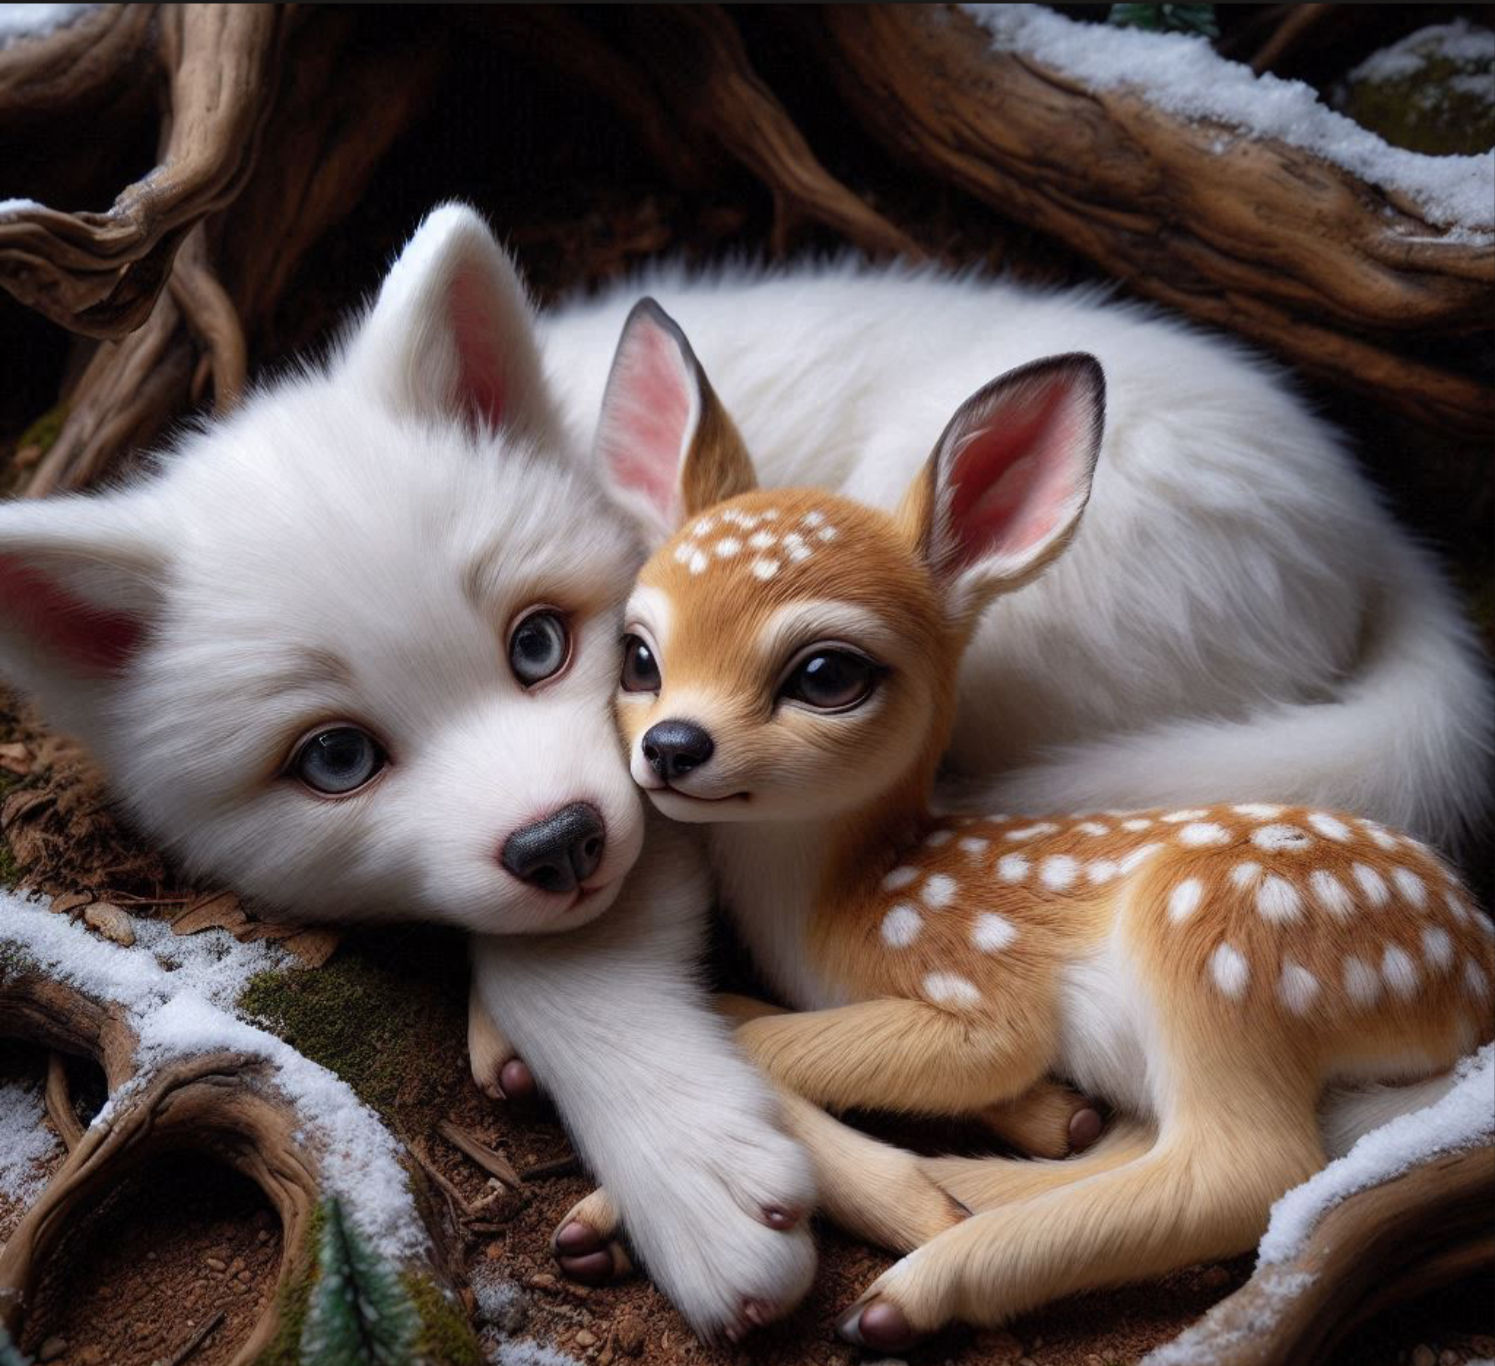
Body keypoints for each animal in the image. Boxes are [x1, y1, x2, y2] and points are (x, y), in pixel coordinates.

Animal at [583, 299, 1495, 1350]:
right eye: (638, 657)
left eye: (825, 674)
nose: (672, 745)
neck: (835, 904)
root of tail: (1470, 976)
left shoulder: (980, 990)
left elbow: (776, 1038)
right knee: (1154, 1140)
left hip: (1228, 956)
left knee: (1246, 1171)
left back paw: (918, 1284)